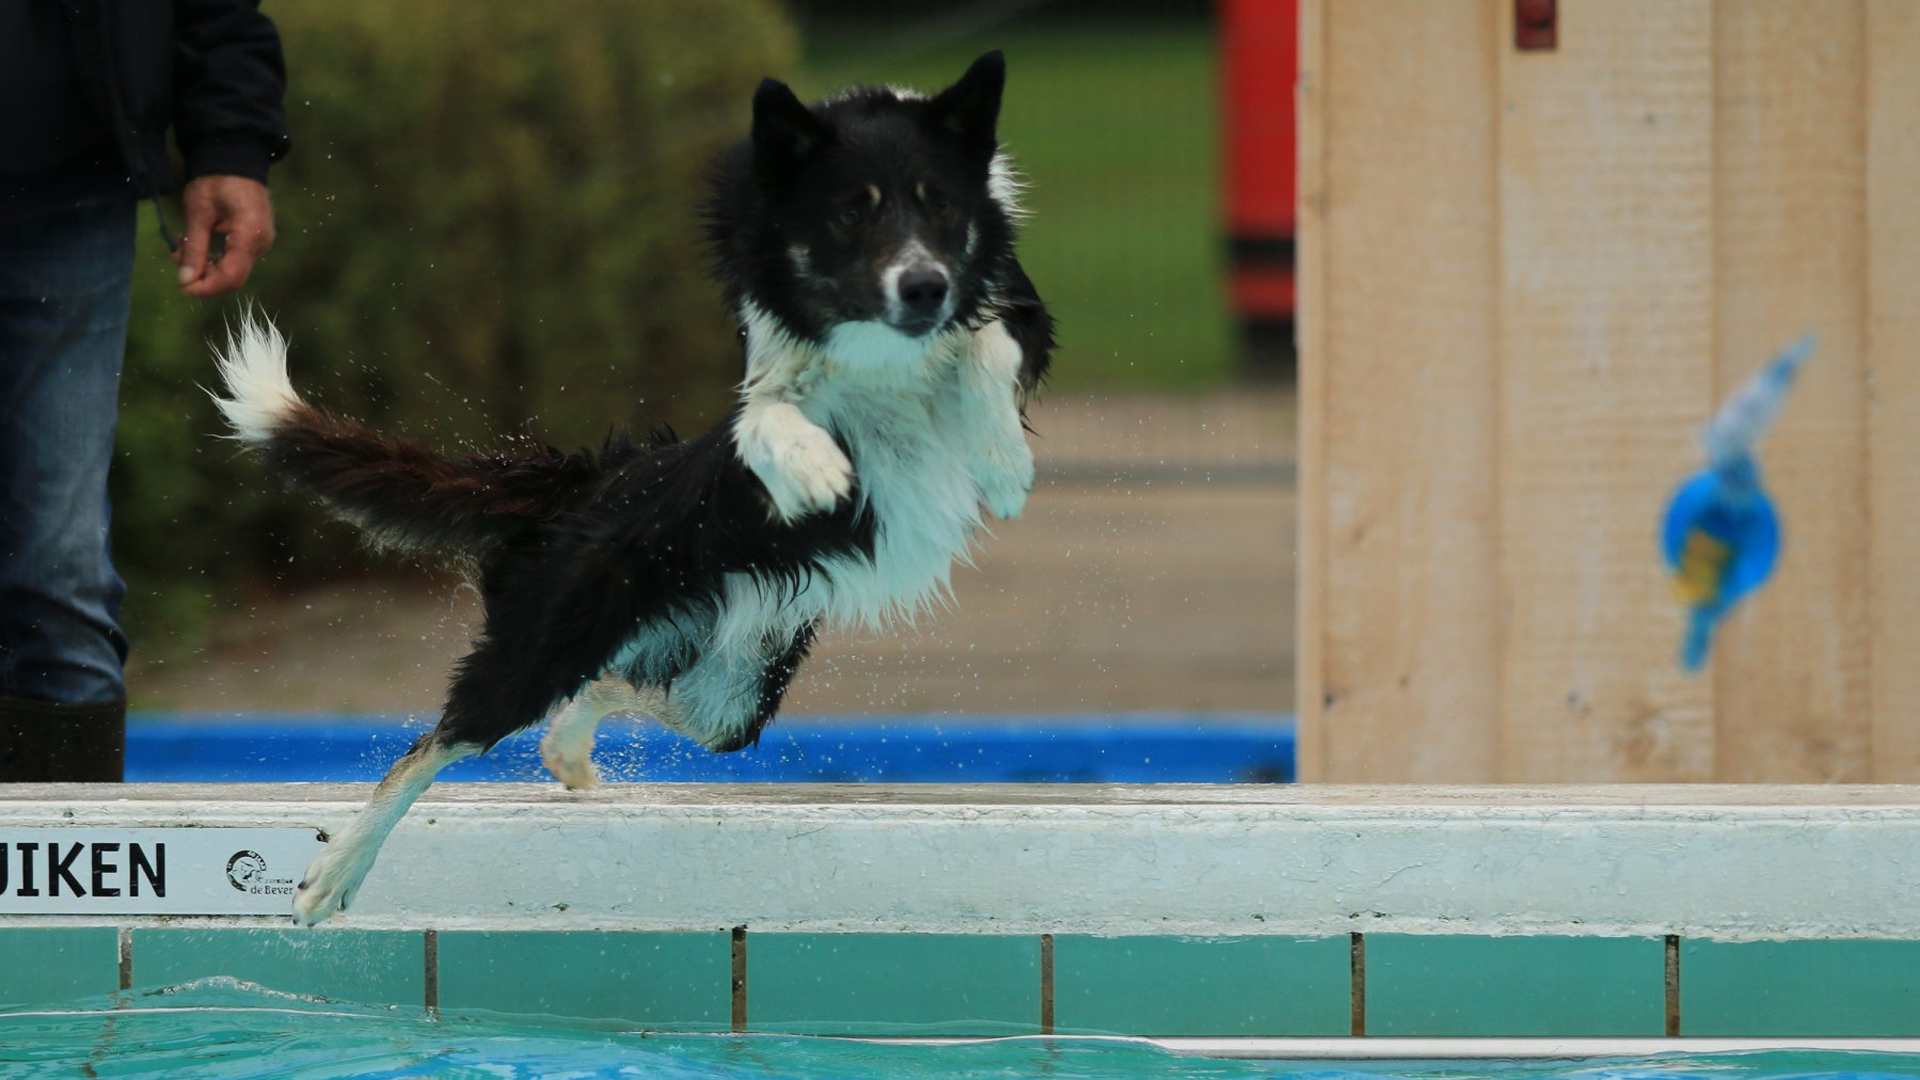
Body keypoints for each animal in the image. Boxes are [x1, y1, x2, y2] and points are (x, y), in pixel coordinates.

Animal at [214, 50, 1052, 922]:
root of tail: (588, 480)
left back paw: (567, 750)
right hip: (553, 636)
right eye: (852, 215)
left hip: (735, 686)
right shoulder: (770, 372)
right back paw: (337, 869)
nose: (923, 287)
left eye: (940, 205)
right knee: (438, 740)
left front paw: (999, 455)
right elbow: (769, 413)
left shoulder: (1018, 312)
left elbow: (990, 343)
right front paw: (816, 467)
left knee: (626, 690)